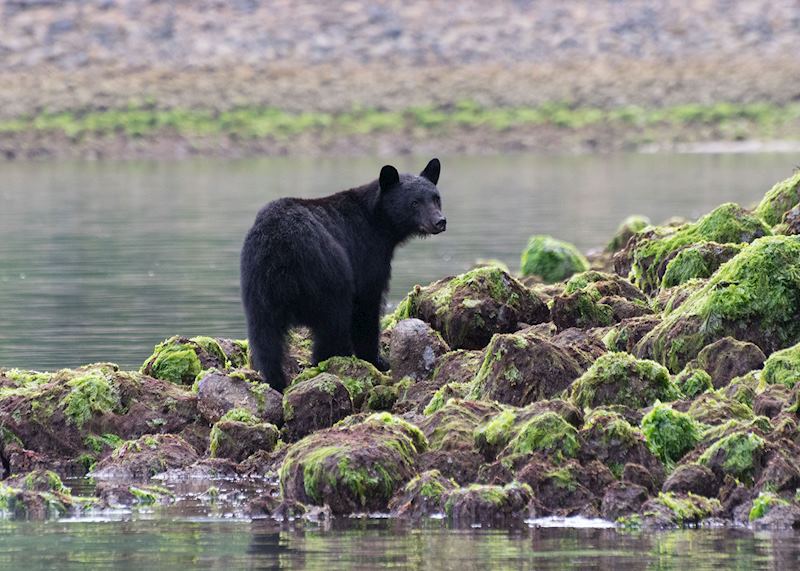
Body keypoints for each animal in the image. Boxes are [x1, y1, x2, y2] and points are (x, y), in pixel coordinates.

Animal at [240, 158, 446, 391]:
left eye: (436, 198)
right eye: (414, 202)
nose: (439, 221)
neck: (378, 221)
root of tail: (280, 247)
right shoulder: (367, 252)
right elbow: (367, 305)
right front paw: (377, 360)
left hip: (258, 285)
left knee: (265, 337)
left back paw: (276, 381)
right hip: (326, 273)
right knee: (333, 322)